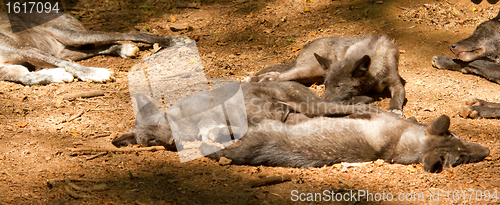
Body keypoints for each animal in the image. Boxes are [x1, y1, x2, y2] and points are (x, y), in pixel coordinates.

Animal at [0, 11, 191, 85]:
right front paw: (57, 75)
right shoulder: (11, 69)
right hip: (67, 49)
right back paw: (123, 50)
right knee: (96, 48)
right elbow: (28, 78)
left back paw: (173, 41)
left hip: (72, 36)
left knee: (131, 32)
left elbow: (66, 64)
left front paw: (96, 73)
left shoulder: (26, 50)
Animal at [112, 81, 378, 148]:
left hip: (314, 106)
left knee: (355, 108)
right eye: (151, 141)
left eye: (159, 125)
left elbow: (237, 126)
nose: (168, 142)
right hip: (311, 114)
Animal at [244, 34, 404, 113]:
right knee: (278, 75)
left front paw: (395, 109)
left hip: (310, 75)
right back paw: (255, 79)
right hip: (309, 70)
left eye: (339, 86)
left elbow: (398, 96)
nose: (323, 102)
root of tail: (307, 44)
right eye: (326, 85)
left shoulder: (396, 83)